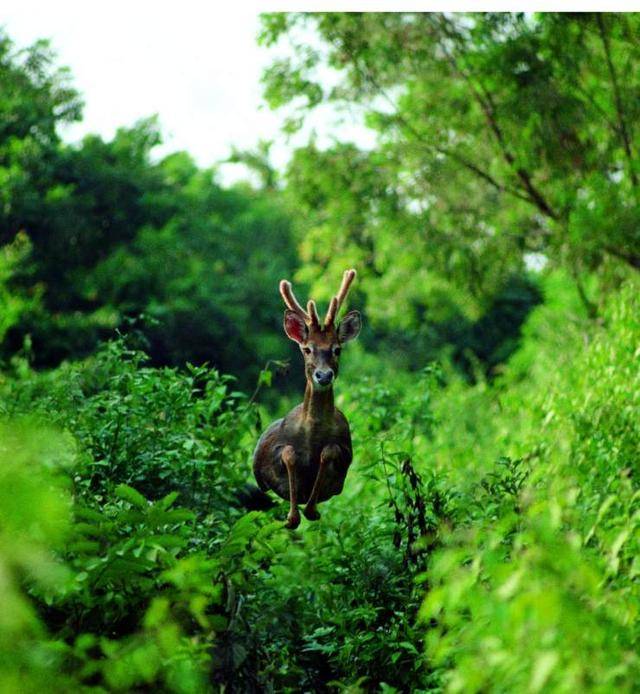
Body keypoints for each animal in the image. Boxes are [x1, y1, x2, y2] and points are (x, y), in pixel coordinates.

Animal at [255, 270, 364, 532]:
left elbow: (330, 450)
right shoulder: (273, 454)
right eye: (307, 349)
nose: (323, 375)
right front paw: (292, 517)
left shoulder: (345, 452)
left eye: (337, 349)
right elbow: (289, 454)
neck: (312, 437)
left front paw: (311, 510)